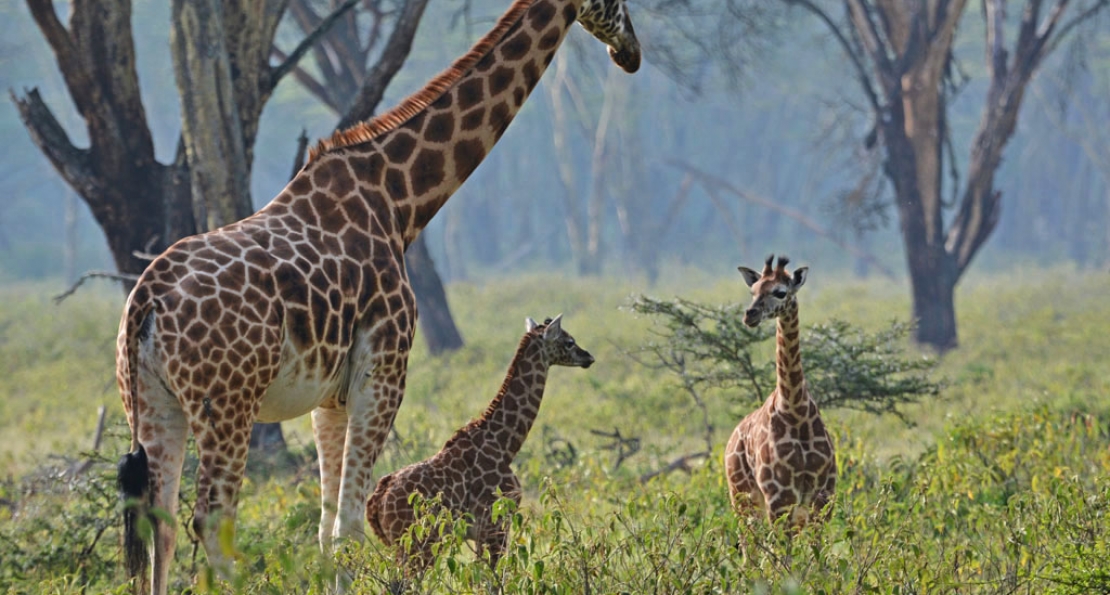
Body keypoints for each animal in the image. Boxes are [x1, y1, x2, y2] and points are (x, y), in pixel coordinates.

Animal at [366, 313, 594, 568]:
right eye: (569, 342)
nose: (589, 357)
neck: (505, 444)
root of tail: (376, 501)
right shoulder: (495, 524)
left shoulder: (482, 531)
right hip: (419, 543)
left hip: (398, 545)